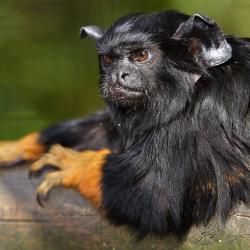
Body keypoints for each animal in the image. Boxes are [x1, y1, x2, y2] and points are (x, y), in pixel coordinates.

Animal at [0, 11, 248, 238]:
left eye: (141, 55)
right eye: (108, 59)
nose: (118, 75)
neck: (195, 85)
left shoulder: (205, 117)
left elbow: (154, 197)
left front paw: (76, 164)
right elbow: (105, 132)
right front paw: (17, 146)